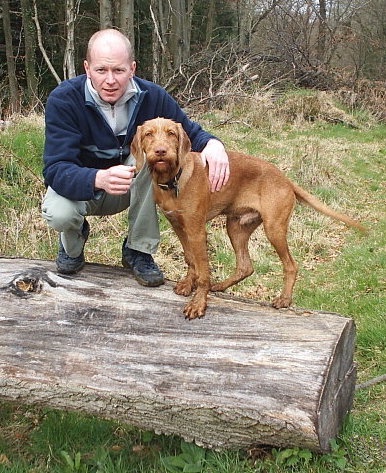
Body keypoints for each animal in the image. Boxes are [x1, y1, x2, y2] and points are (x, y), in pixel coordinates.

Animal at [131, 116, 364, 318]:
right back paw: (220, 286)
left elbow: (203, 269)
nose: (161, 151)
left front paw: (198, 303)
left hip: (274, 228)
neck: (173, 180)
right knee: (246, 266)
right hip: (237, 227)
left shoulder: (197, 230)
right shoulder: (178, 225)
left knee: (291, 265)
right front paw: (189, 285)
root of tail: (285, 179)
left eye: (171, 133)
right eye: (148, 134)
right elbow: (191, 260)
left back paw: (284, 299)